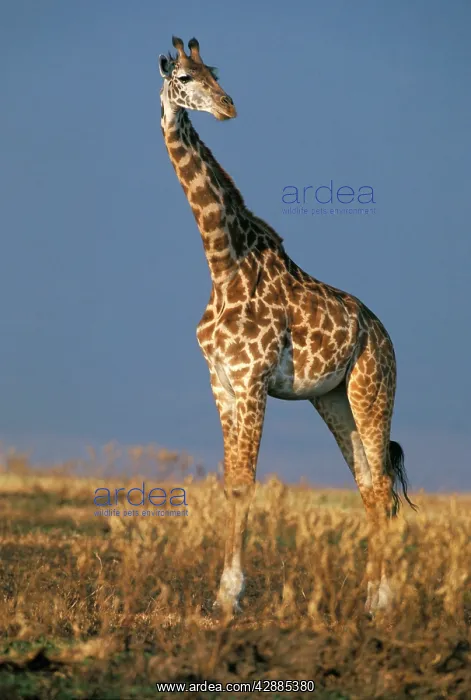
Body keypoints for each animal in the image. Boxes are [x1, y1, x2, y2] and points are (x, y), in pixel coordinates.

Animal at [158, 36, 416, 615]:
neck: (223, 264)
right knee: (370, 489)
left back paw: (383, 602)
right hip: (332, 398)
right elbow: (230, 482)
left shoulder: (252, 379)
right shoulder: (221, 381)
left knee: (382, 485)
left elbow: (245, 485)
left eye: (215, 73)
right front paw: (221, 596)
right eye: (184, 77)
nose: (227, 106)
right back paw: (371, 600)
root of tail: (383, 334)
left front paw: (230, 594)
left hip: (372, 390)